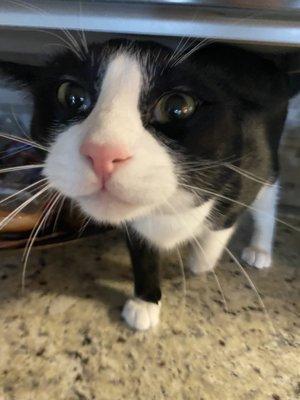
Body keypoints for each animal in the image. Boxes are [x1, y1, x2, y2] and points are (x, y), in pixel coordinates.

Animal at [0, 39, 296, 330]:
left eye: (178, 106)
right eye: (71, 96)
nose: (103, 152)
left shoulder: (245, 172)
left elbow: (221, 226)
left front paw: (200, 260)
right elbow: (143, 253)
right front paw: (146, 301)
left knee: (268, 200)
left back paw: (259, 249)